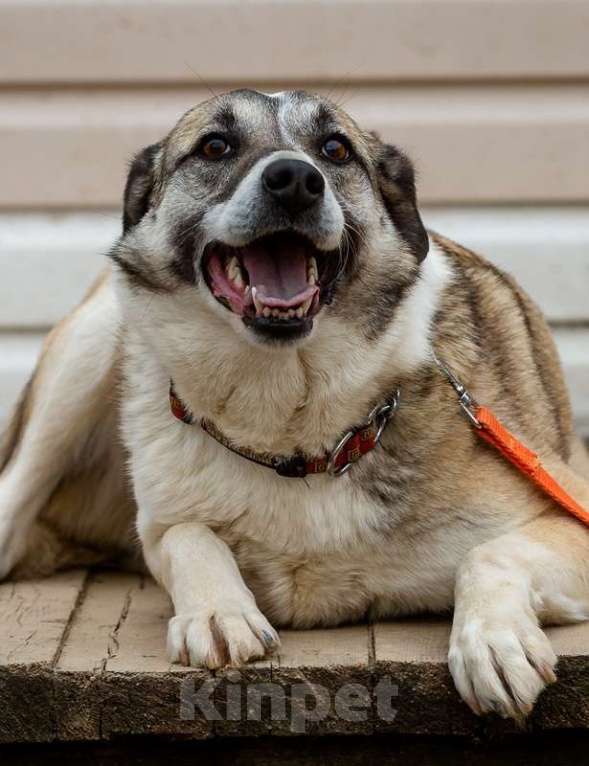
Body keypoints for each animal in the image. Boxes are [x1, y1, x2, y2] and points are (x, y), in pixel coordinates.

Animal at [1, 91, 588, 728]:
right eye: (215, 146)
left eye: (335, 150)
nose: (295, 181)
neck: (293, 431)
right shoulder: (159, 525)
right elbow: (188, 536)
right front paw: (219, 611)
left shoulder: (570, 510)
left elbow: (489, 554)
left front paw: (491, 642)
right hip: (92, 341)